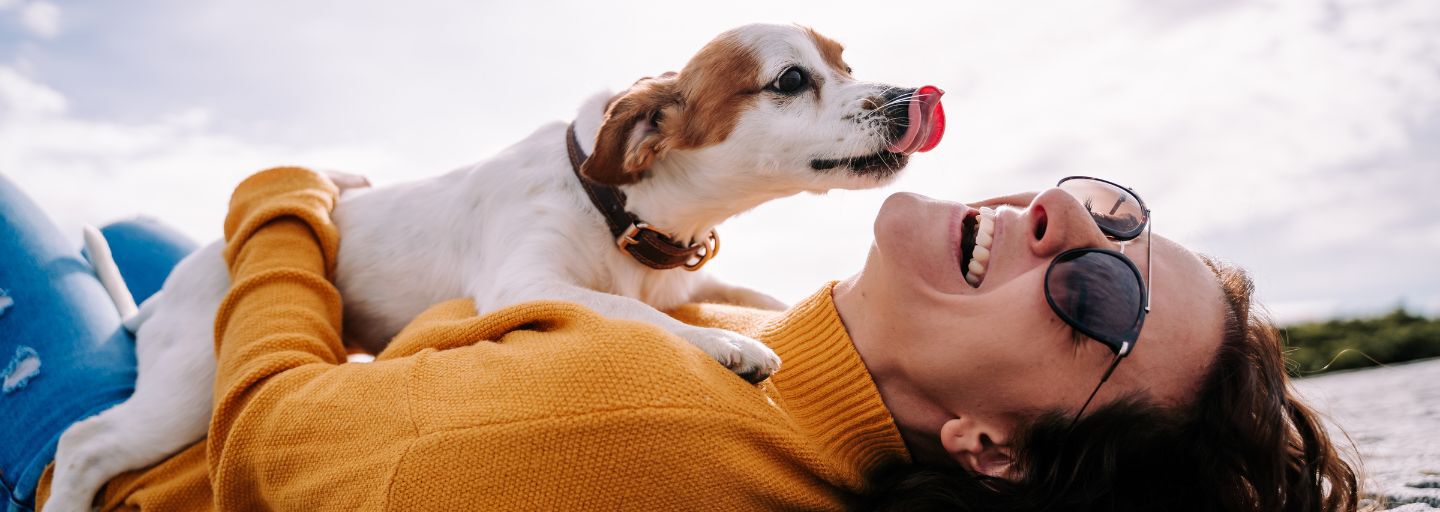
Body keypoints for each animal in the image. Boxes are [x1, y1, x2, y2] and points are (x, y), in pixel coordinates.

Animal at [45, 22, 944, 509]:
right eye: (790, 80)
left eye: (847, 64)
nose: (912, 98)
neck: (621, 211)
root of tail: (166, 292)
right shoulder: (529, 282)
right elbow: (631, 312)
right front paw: (732, 345)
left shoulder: (696, 277)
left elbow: (744, 292)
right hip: (190, 389)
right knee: (84, 441)